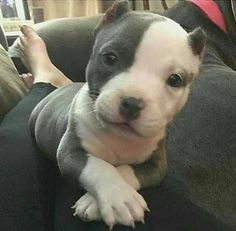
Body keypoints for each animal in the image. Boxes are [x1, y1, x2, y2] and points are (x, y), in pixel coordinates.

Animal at [30, 0, 206, 227]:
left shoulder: (157, 167)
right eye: (110, 58)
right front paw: (119, 197)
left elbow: (125, 171)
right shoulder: (69, 153)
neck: (120, 138)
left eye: (175, 80)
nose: (132, 104)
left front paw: (98, 201)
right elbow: (99, 166)